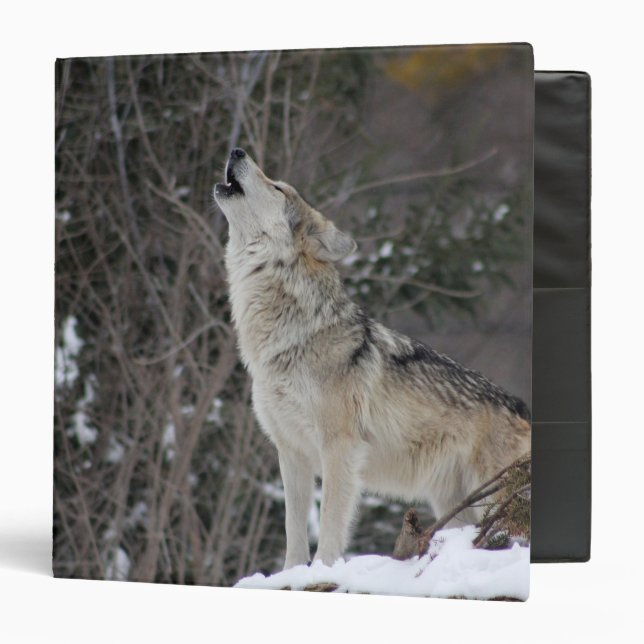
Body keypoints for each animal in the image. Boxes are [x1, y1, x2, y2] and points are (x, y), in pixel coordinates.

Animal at [214, 148, 531, 569]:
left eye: (278, 187)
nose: (237, 150)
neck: (289, 338)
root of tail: (521, 405)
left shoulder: (339, 449)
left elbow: (330, 524)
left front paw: (322, 570)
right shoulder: (291, 452)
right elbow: (293, 530)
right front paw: (291, 574)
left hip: (493, 496)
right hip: (454, 505)